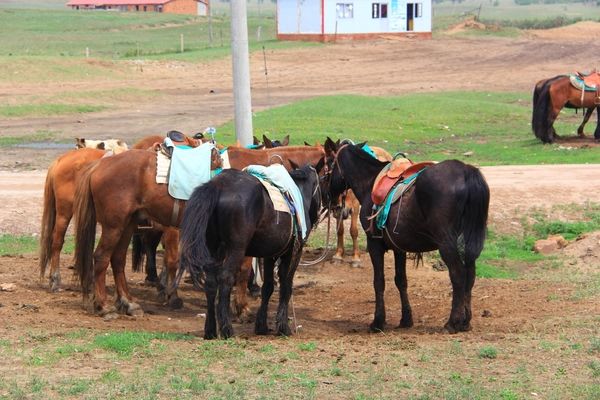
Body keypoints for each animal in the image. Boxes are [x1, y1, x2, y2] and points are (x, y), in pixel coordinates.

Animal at [72, 145, 326, 318]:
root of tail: (100, 164)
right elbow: (242, 271)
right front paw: (241, 307)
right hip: (114, 226)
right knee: (101, 258)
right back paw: (103, 306)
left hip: (127, 224)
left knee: (117, 259)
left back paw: (127, 303)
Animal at [178, 161, 324, 340]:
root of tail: (218, 185)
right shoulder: (293, 252)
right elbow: (286, 285)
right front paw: (283, 326)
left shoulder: (270, 255)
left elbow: (268, 286)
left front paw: (261, 325)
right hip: (236, 249)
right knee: (225, 278)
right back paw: (227, 329)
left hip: (213, 248)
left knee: (211, 283)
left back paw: (211, 330)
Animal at [322, 139, 490, 332]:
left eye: (327, 163)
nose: (329, 200)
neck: (370, 182)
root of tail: (465, 171)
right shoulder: (399, 248)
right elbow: (401, 280)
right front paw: (406, 319)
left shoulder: (374, 244)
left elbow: (379, 281)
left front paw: (378, 322)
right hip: (468, 241)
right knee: (470, 274)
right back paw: (465, 321)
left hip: (446, 243)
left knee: (458, 275)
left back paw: (452, 323)